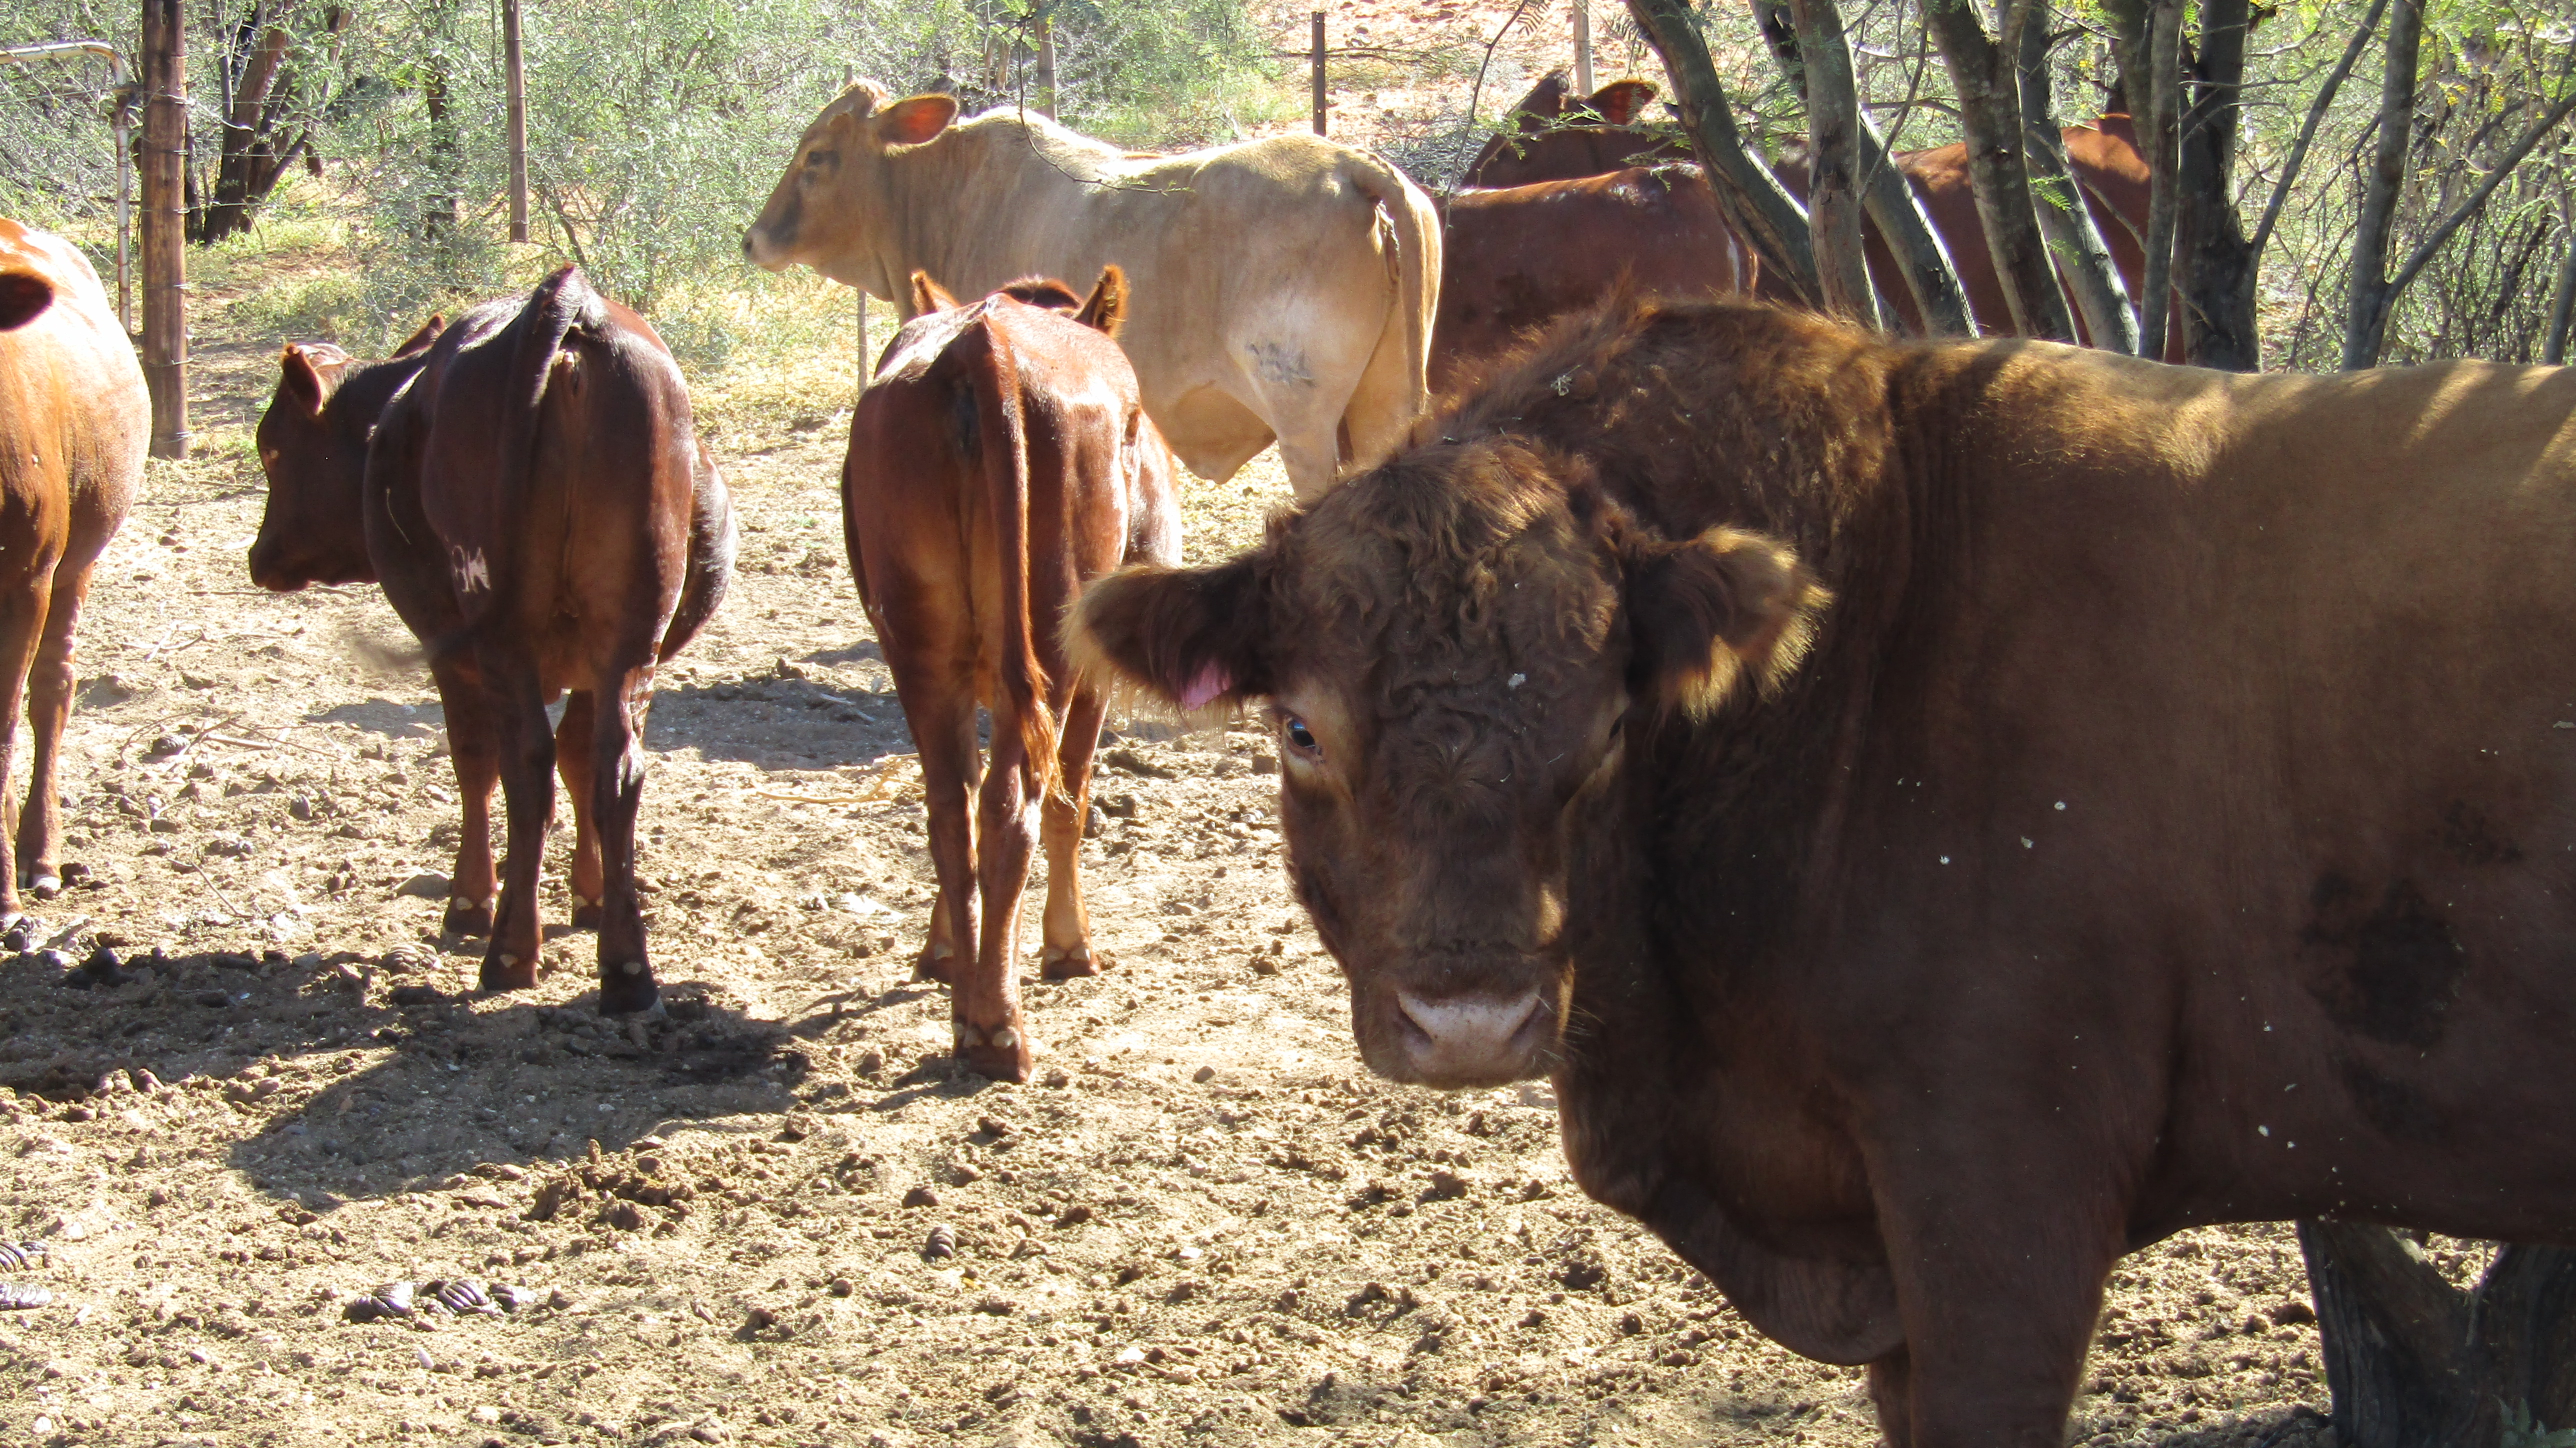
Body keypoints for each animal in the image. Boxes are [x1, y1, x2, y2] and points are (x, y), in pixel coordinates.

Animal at [249, 266, 734, 1015]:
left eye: (273, 449)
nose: (260, 556)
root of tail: (571, 310)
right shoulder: (604, 669)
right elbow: (582, 762)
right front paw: (592, 896)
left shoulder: (453, 655)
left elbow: (473, 763)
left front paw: (470, 901)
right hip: (632, 633)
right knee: (615, 768)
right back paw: (626, 969)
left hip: (500, 639)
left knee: (522, 764)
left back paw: (509, 950)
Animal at [743, 82, 1439, 503]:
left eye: (817, 155)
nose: (752, 239)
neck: (950, 195)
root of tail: (1348, 166)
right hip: (1382, 402)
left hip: (1304, 419)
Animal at [845, 266, 1179, 1083]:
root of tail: (981, 338)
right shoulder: (1096, 672)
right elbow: (1072, 797)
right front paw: (1069, 945)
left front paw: (941, 953)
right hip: (1054, 650)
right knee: (1016, 804)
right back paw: (997, 1028)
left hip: (920, 646)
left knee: (950, 806)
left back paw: (972, 1004)